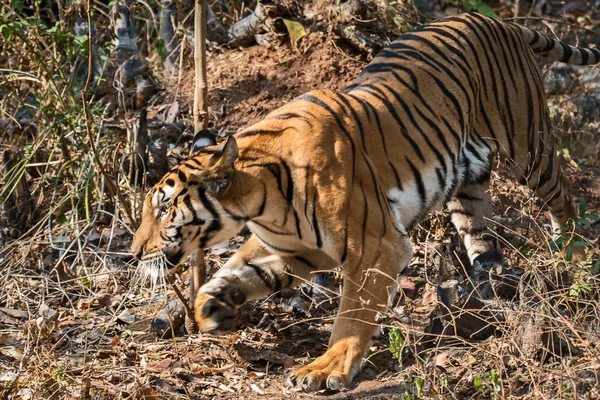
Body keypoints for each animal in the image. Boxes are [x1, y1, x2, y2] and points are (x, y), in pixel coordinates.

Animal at [130, 11, 596, 390]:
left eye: (164, 208)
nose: (134, 253)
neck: (260, 203)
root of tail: (497, 21)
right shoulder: (294, 249)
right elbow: (234, 273)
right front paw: (212, 308)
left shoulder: (375, 245)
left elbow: (352, 315)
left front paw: (324, 370)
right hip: (467, 183)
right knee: (480, 234)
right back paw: (488, 287)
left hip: (528, 149)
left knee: (566, 199)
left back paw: (571, 259)